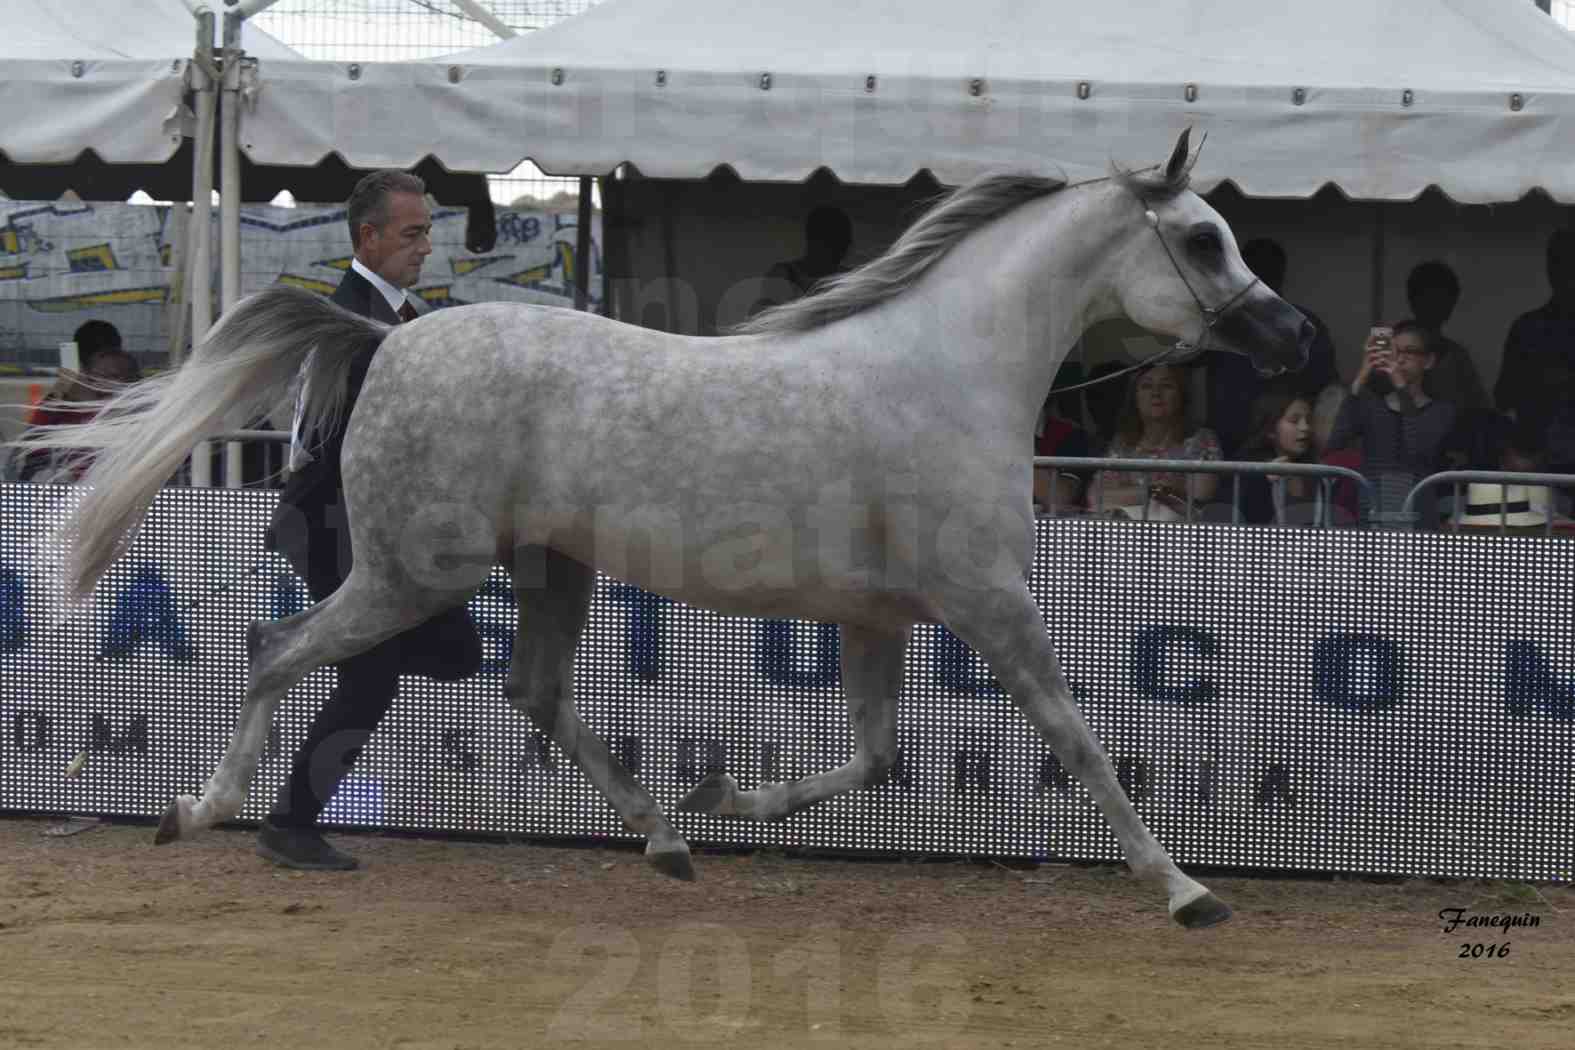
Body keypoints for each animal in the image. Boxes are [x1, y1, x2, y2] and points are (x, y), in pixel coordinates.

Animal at [43, 131, 1310, 925]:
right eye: (1205, 240)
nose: (1295, 338)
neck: (946, 374)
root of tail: (388, 336)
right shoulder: (991, 604)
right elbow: (1078, 742)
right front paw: (1189, 893)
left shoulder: (882, 620)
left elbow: (871, 756)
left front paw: (724, 800)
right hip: (412, 577)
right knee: (281, 653)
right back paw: (201, 813)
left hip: (546, 571)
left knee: (531, 692)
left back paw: (666, 836)